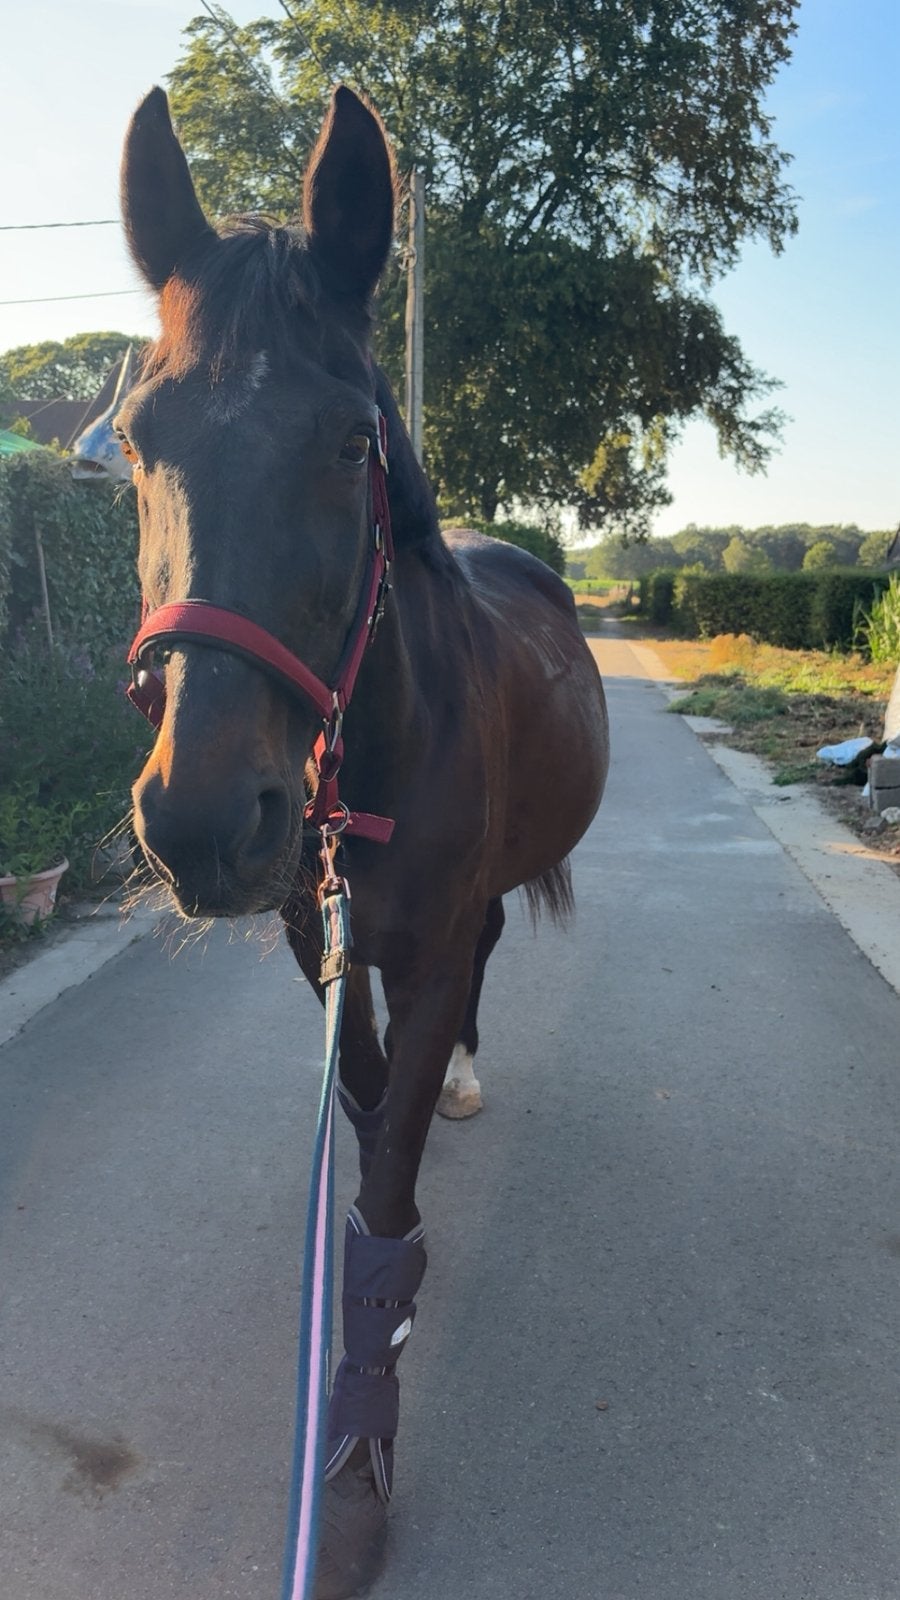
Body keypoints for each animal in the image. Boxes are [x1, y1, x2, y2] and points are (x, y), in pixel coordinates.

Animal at [118, 84, 609, 1599]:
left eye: (352, 443)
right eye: (137, 442)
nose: (203, 820)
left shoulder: (433, 937)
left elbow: (385, 1195)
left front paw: (350, 1472)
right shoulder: (309, 933)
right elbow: (365, 1096)